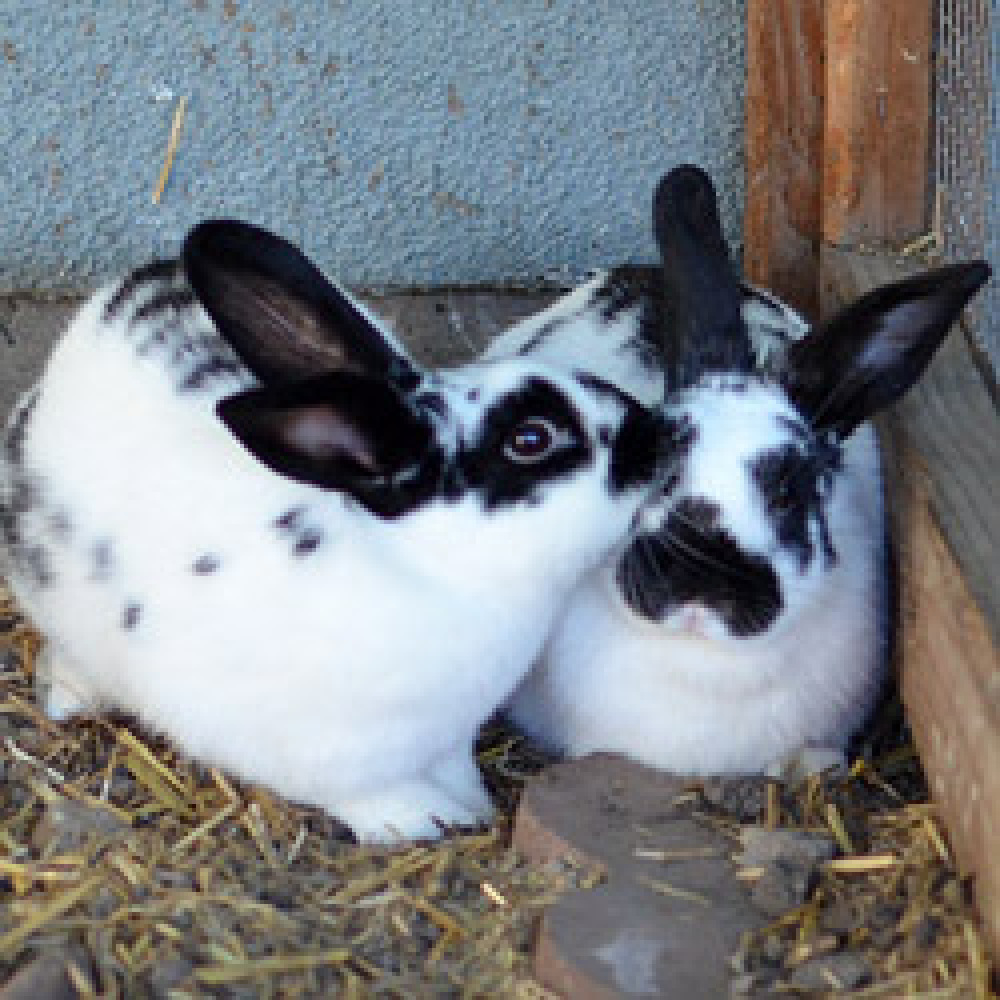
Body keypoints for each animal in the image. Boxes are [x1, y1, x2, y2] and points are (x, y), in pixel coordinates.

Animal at [0, 219, 675, 842]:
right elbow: (364, 794)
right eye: (531, 439)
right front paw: (423, 819)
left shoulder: (446, 736)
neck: (433, 569)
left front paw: (470, 805)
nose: (655, 435)